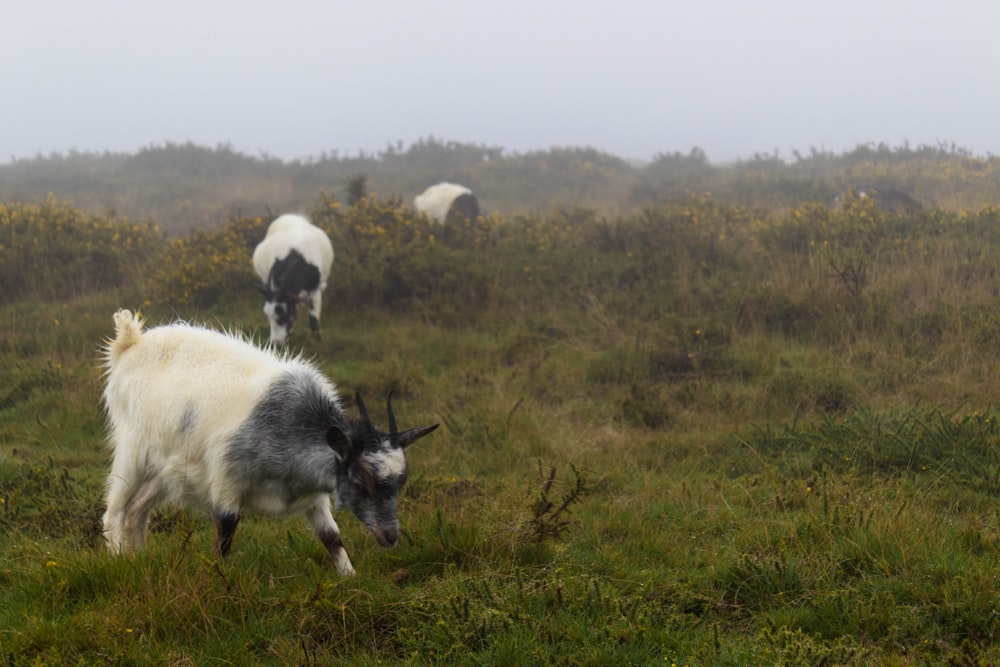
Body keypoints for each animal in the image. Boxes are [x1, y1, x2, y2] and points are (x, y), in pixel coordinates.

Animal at [100, 310, 438, 576]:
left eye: (401, 481)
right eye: (360, 479)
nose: (390, 536)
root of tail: (131, 342)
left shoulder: (314, 496)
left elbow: (331, 537)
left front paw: (350, 577)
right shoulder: (227, 481)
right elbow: (224, 535)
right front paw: (218, 581)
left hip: (167, 469)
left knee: (137, 510)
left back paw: (140, 558)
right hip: (132, 450)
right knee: (115, 509)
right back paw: (118, 560)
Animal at [252, 215, 334, 350]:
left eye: (284, 314)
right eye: (267, 315)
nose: (275, 344)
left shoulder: (315, 288)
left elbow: (314, 320)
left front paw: (318, 342)